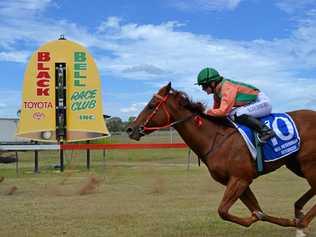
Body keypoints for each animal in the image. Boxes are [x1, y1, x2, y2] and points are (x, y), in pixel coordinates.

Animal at [126, 82, 316, 236]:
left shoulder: (240, 179)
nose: (130, 129)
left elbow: (223, 211)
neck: (214, 140)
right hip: (296, 164)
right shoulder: (237, 181)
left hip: (308, 165)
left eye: (151, 105)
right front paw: (282, 220)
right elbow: (257, 210)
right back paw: (298, 211)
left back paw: (302, 222)